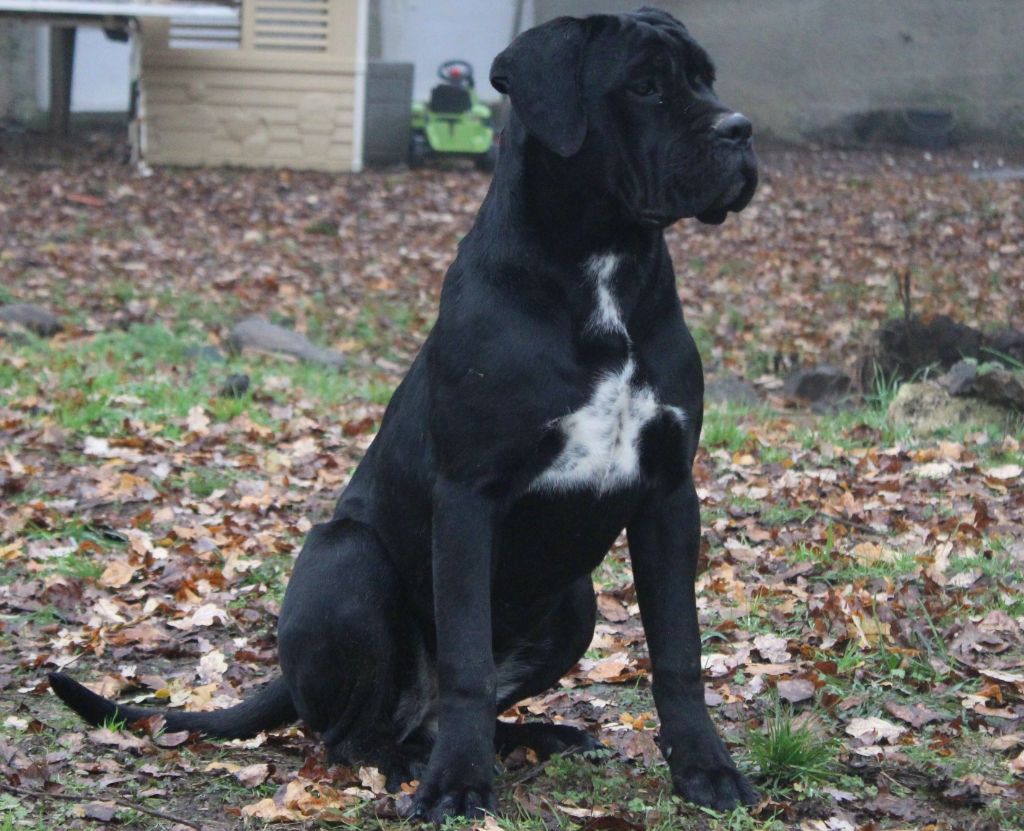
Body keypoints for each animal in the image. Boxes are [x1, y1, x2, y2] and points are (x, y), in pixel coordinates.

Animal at [50, 7, 758, 822]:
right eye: (643, 85)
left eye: (706, 78)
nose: (741, 128)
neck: (606, 264)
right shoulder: (469, 498)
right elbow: (466, 663)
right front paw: (458, 784)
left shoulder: (669, 494)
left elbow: (678, 651)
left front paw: (706, 770)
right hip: (347, 558)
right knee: (352, 733)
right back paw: (410, 763)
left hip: (574, 604)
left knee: (432, 711)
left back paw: (536, 735)